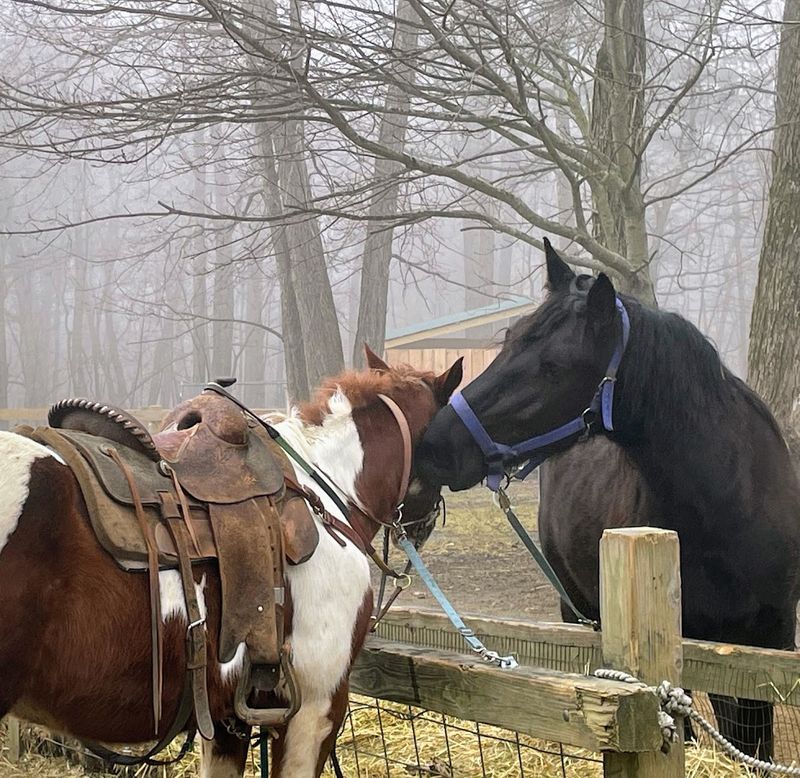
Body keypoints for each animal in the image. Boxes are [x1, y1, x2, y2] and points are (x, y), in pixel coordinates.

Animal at [416, 239, 800, 759]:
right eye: (509, 338)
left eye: (553, 366)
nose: (433, 444)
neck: (729, 504)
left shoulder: (764, 647)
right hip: (580, 612)